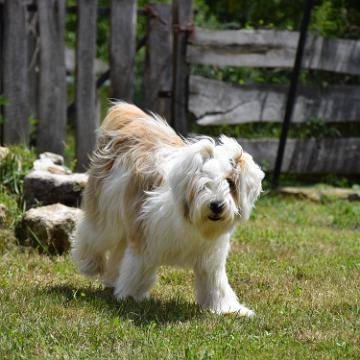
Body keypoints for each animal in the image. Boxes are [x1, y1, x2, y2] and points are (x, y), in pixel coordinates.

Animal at [71, 101, 264, 316]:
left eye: (230, 183)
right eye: (203, 182)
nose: (216, 205)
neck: (191, 223)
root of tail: (133, 120)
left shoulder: (211, 258)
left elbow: (216, 284)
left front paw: (228, 308)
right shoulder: (144, 237)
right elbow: (137, 268)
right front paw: (130, 296)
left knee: (118, 248)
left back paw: (112, 279)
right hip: (107, 209)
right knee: (92, 234)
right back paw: (90, 264)